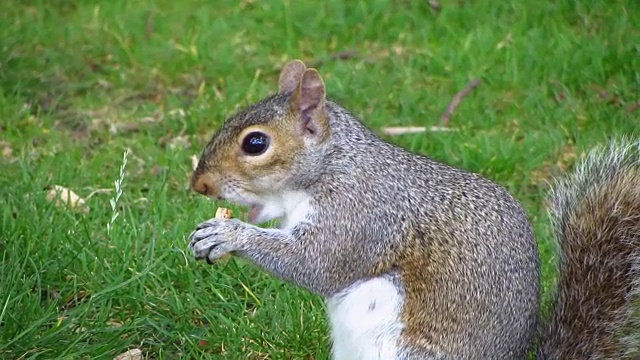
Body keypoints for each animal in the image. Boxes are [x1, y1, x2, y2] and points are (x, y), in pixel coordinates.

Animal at [188, 60, 640, 358]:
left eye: (256, 143)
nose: (199, 184)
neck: (334, 165)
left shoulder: (362, 213)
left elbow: (318, 263)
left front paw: (228, 235)